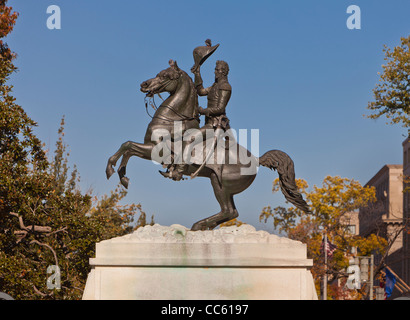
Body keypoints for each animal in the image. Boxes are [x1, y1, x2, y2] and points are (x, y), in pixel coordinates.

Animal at [105, 59, 310, 230]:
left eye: (165, 76)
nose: (144, 85)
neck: (171, 120)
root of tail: (257, 159)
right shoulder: (148, 149)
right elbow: (128, 148)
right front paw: (122, 177)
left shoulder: (155, 151)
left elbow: (128, 145)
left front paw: (112, 170)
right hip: (224, 187)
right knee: (231, 212)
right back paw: (204, 226)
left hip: (219, 184)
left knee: (229, 211)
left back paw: (198, 225)